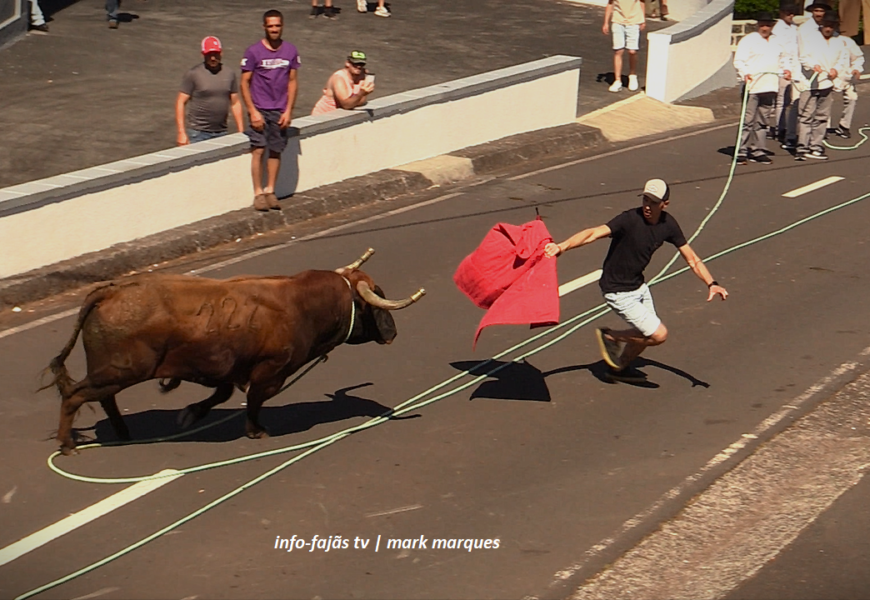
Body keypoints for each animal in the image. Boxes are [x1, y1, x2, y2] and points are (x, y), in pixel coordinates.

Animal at [43, 250, 426, 454]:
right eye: (374, 301)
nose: (393, 332)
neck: (301, 304)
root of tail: (111, 290)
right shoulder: (270, 371)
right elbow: (253, 399)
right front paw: (255, 430)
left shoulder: (223, 369)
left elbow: (223, 394)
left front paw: (190, 413)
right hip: (118, 370)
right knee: (75, 395)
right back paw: (67, 444)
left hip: (111, 373)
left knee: (102, 398)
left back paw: (123, 433)